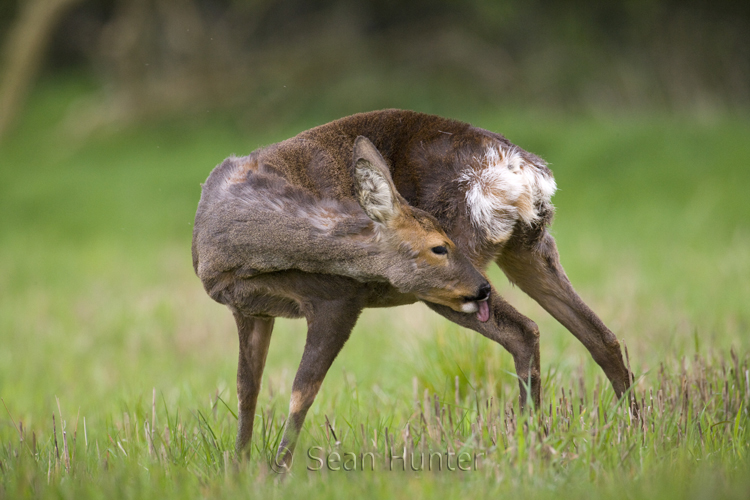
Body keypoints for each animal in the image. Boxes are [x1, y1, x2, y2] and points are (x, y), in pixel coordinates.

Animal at [194, 109, 636, 468]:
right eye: (438, 247)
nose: (482, 290)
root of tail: (521, 172)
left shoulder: (339, 296)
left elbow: (302, 389)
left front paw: (277, 472)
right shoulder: (249, 309)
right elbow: (247, 389)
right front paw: (239, 467)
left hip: (457, 282)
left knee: (525, 331)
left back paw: (531, 442)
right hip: (528, 248)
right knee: (601, 336)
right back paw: (630, 431)